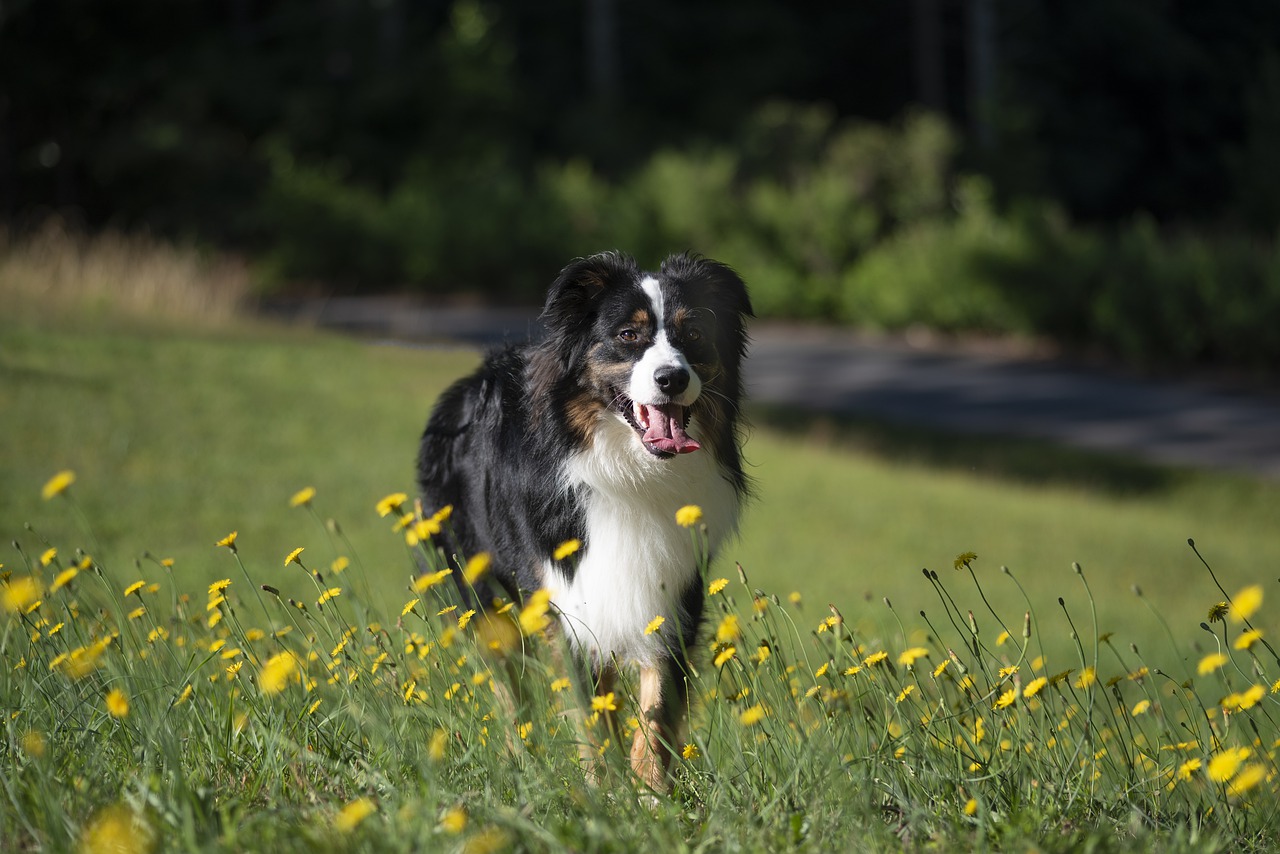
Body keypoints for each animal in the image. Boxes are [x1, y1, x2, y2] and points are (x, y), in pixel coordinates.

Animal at [414, 250, 752, 793]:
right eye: (628, 335)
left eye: (695, 333)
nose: (672, 379)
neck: (629, 472)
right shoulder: (568, 598)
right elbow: (591, 714)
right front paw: (605, 793)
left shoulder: (671, 592)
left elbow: (655, 709)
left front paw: (652, 796)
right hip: (478, 591)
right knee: (509, 689)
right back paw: (522, 762)